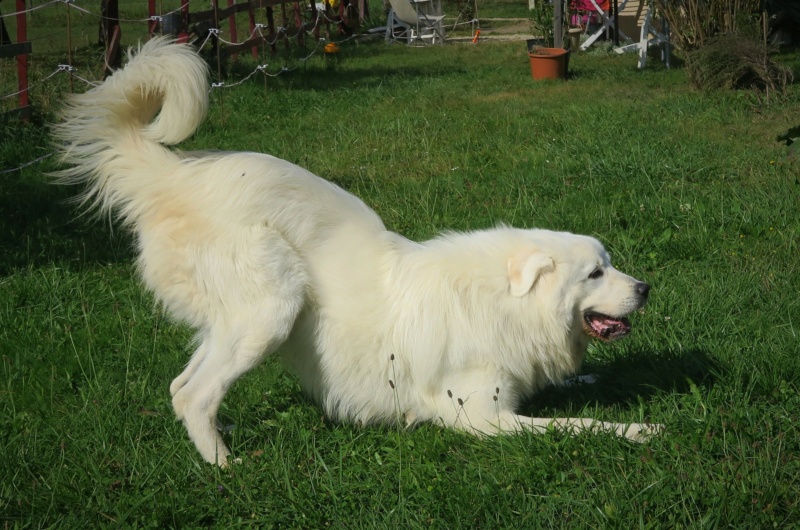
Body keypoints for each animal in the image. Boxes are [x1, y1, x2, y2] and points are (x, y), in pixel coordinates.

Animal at [54, 38, 656, 466]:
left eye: (609, 264)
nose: (647, 288)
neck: (507, 302)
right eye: (596, 273)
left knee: (181, 387)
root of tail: (174, 174)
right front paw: (637, 429)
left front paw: (598, 381)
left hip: (234, 324)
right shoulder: (482, 418)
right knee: (197, 394)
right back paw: (228, 469)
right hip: (271, 311)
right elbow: (577, 426)